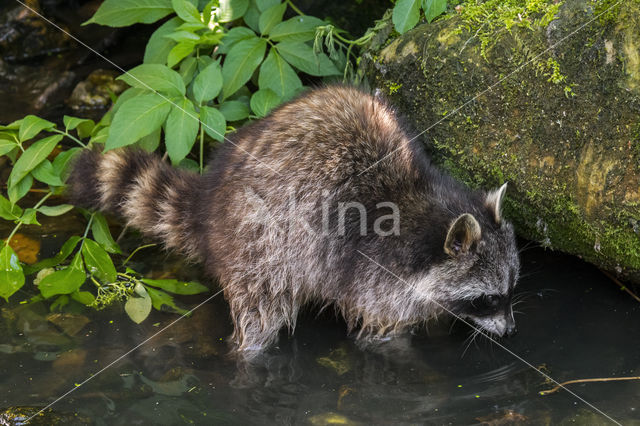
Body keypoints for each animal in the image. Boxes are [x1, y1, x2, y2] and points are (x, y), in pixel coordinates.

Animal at [69, 85, 520, 356]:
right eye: (487, 298)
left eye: (511, 290)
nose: (512, 332)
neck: (420, 203)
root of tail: (209, 205)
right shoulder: (376, 274)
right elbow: (381, 332)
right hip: (258, 245)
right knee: (259, 312)